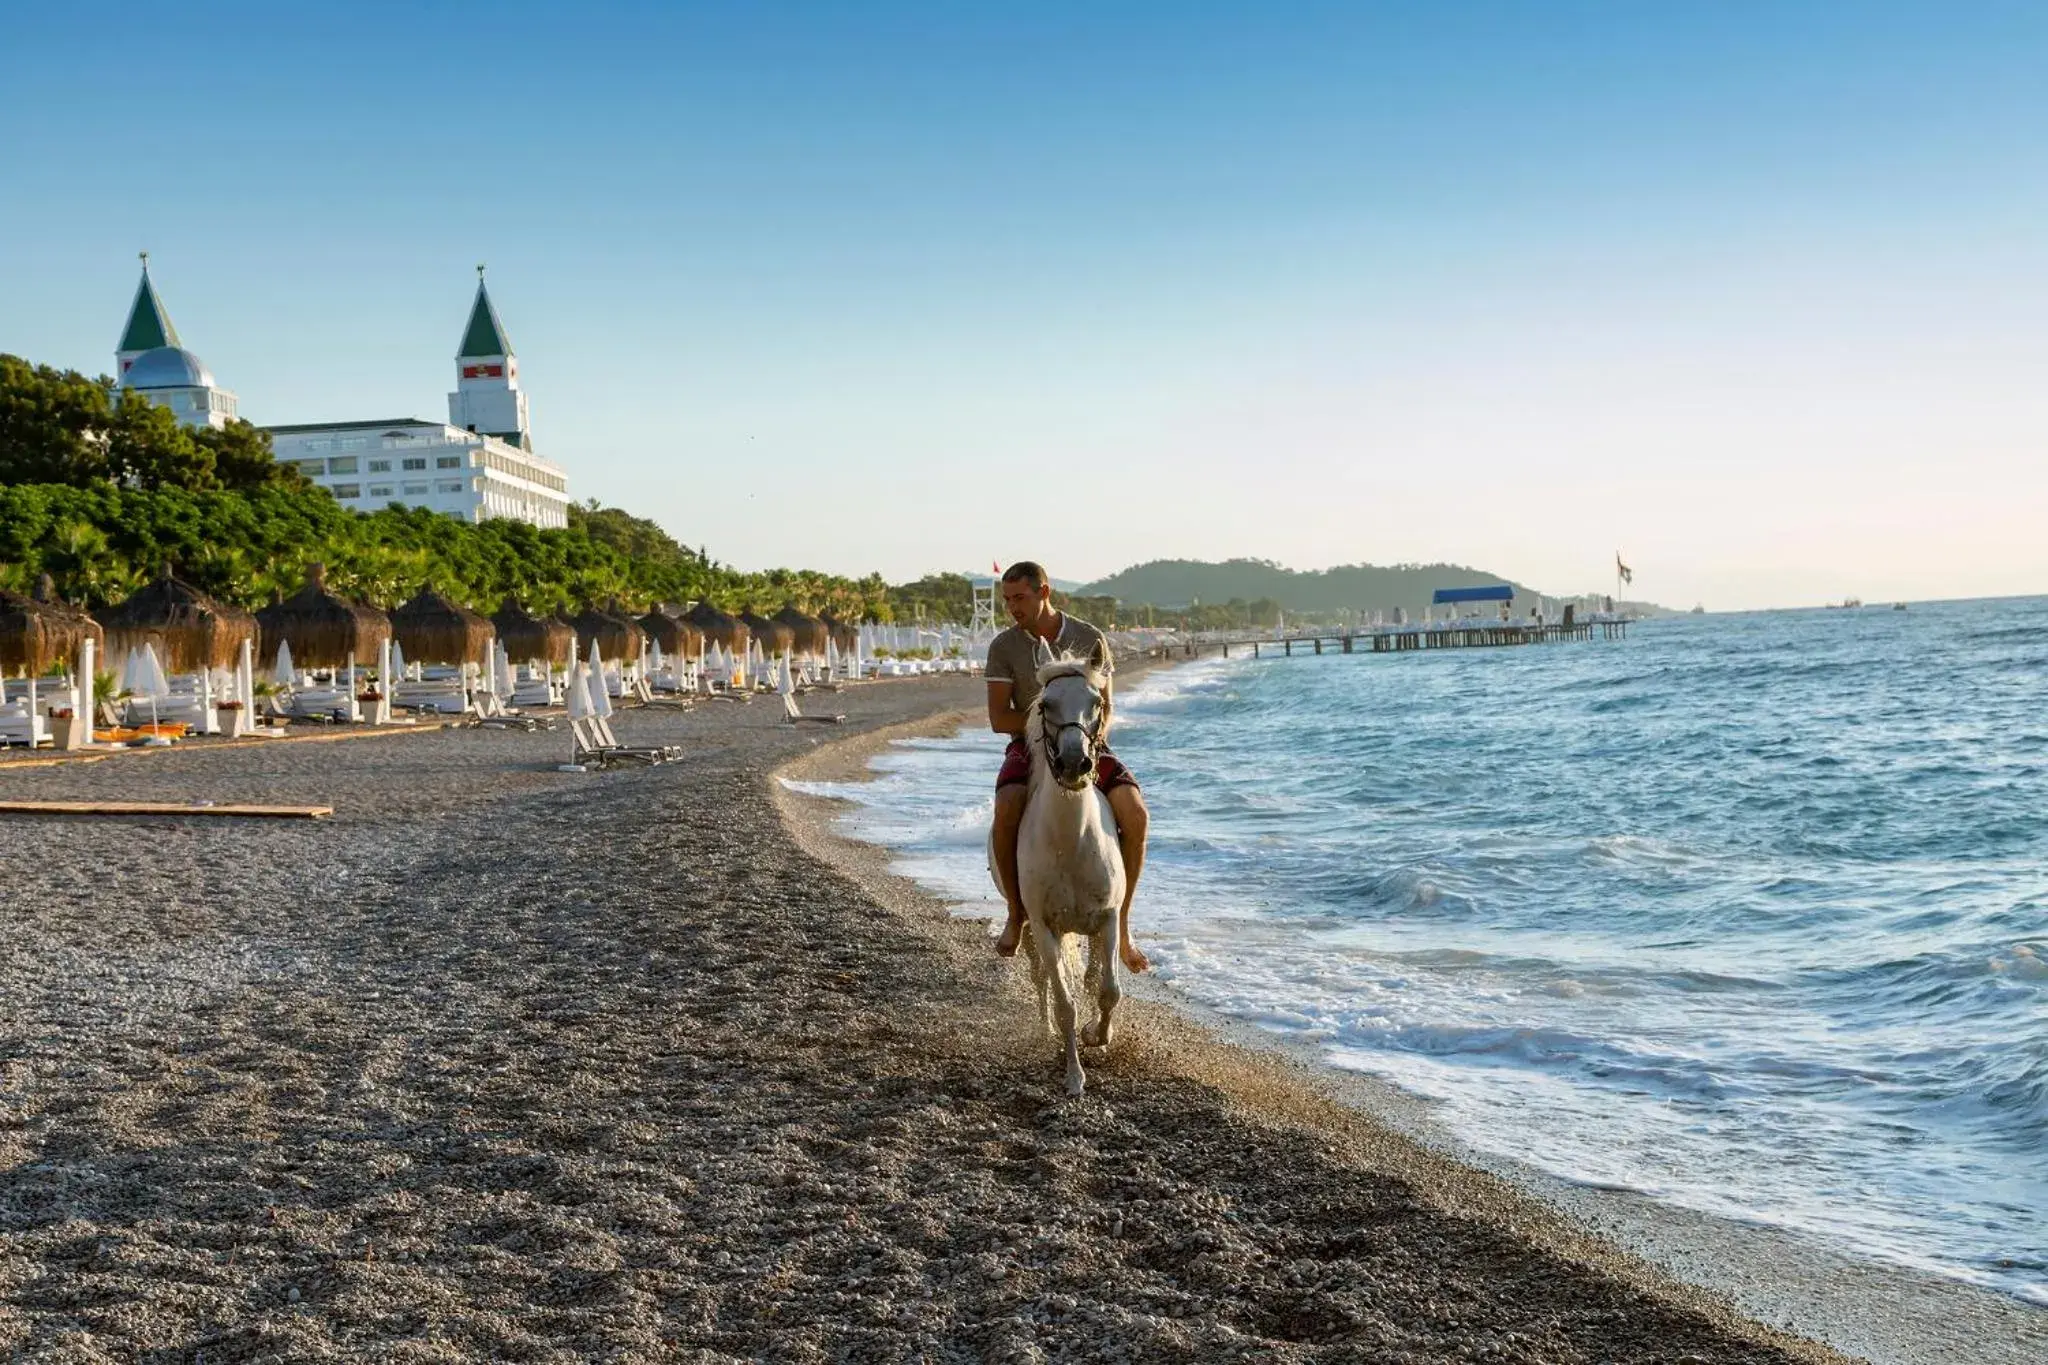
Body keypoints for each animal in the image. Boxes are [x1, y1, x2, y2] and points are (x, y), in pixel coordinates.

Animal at [987, 650, 1130, 1096]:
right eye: (1046, 705)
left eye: (1097, 702)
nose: (1073, 764)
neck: (1071, 841)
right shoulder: (1045, 926)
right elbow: (1065, 1001)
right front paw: (1074, 1075)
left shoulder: (1108, 919)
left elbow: (1108, 990)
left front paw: (1098, 1035)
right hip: (1028, 926)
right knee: (1042, 979)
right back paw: (1046, 1026)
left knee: (1093, 975)